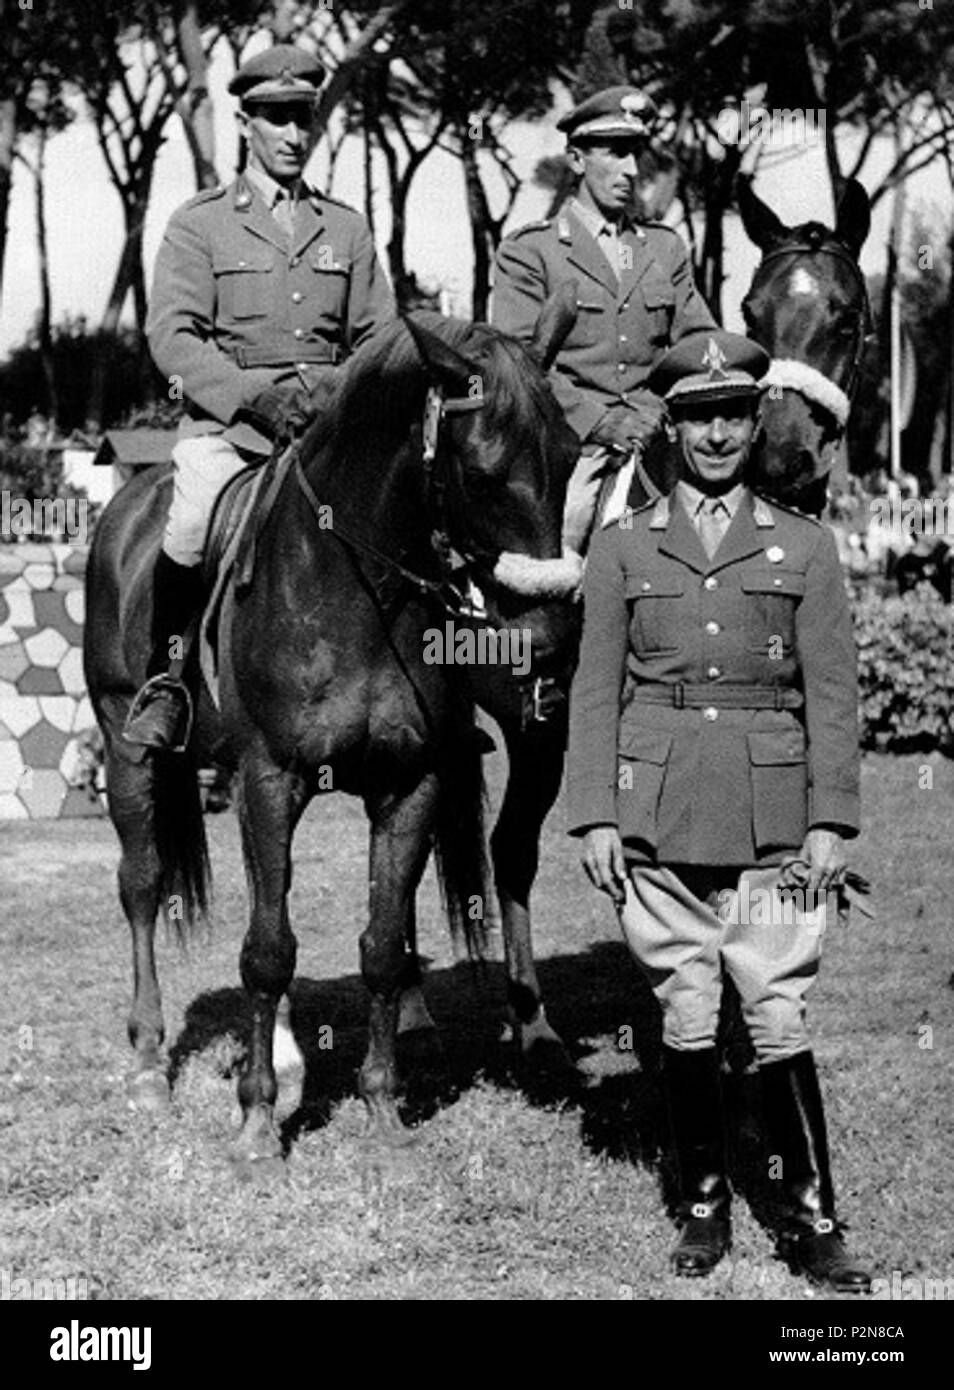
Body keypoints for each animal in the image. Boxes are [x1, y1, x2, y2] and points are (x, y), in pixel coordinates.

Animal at [84, 307, 584, 1162]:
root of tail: (131, 504)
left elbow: (381, 945)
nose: (547, 642)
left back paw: (288, 1055)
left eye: (573, 456)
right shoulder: (269, 778)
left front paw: (382, 1107)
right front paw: (256, 1123)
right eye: (483, 473)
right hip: (127, 754)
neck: (357, 587)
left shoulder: (409, 783)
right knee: (144, 887)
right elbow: (266, 951)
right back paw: (150, 1061)